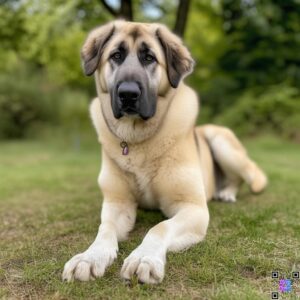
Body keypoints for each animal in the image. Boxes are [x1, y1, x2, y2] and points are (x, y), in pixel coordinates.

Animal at [61, 20, 268, 284]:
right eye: (116, 55)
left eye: (149, 58)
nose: (128, 94)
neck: (137, 140)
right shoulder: (117, 203)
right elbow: (104, 229)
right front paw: (89, 258)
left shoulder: (193, 208)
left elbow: (159, 227)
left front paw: (144, 258)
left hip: (221, 142)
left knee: (242, 177)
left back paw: (227, 193)